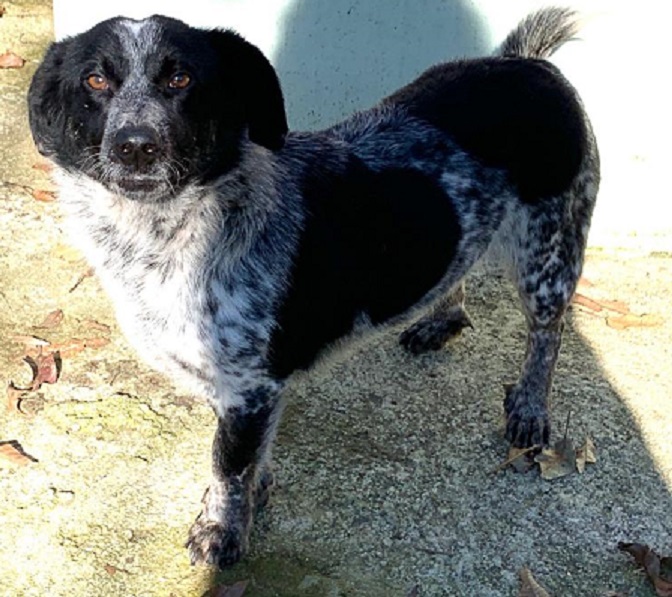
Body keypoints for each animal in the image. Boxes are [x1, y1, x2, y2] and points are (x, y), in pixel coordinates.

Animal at [28, 7, 600, 567]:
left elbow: (227, 468)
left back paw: (529, 409)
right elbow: (247, 459)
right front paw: (253, 497)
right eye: (95, 79)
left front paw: (221, 532)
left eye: (180, 78)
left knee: (547, 334)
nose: (136, 147)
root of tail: (526, 64)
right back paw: (440, 319)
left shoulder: (249, 387)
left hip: (550, 254)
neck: (169, 233)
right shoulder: (240, 387)